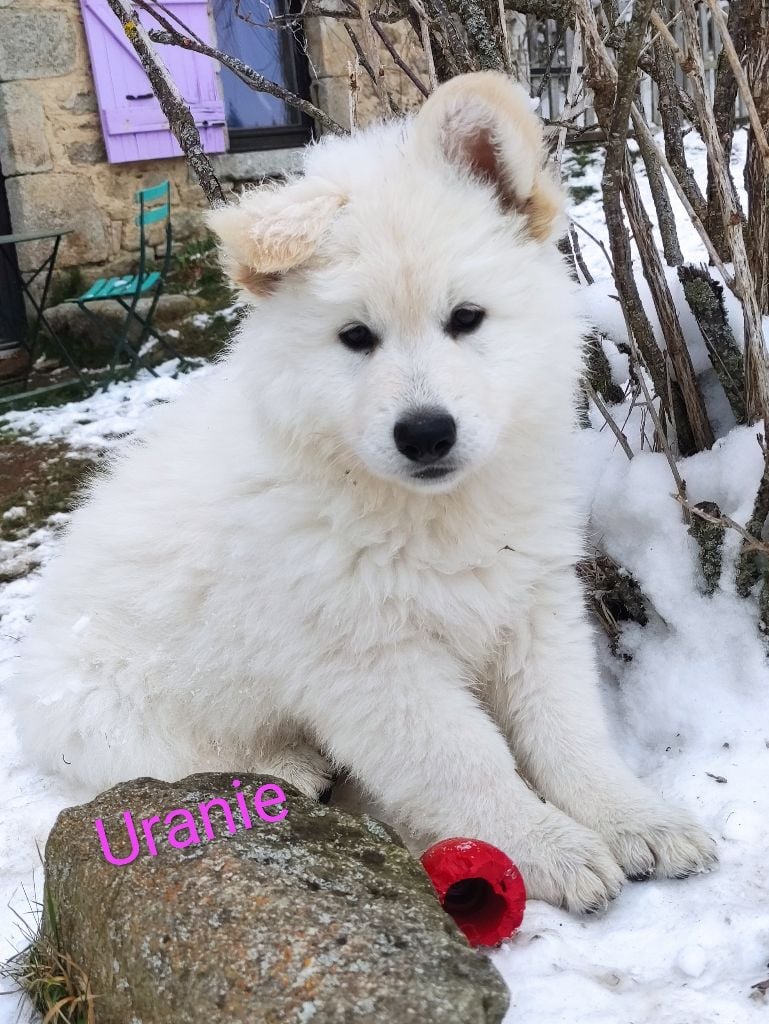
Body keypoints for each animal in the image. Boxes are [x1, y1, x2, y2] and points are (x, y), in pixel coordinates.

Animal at [13, 72, 716, 909]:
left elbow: (565, 728)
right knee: (170, 763)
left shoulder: (531, 606)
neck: (430, 513)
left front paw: (632, 817)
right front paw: (548, 846)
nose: (426, 434)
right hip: (109, 710)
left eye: (466, 318)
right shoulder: (369, 664)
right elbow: (464, 759)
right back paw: (287, 767)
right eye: (354, 338)